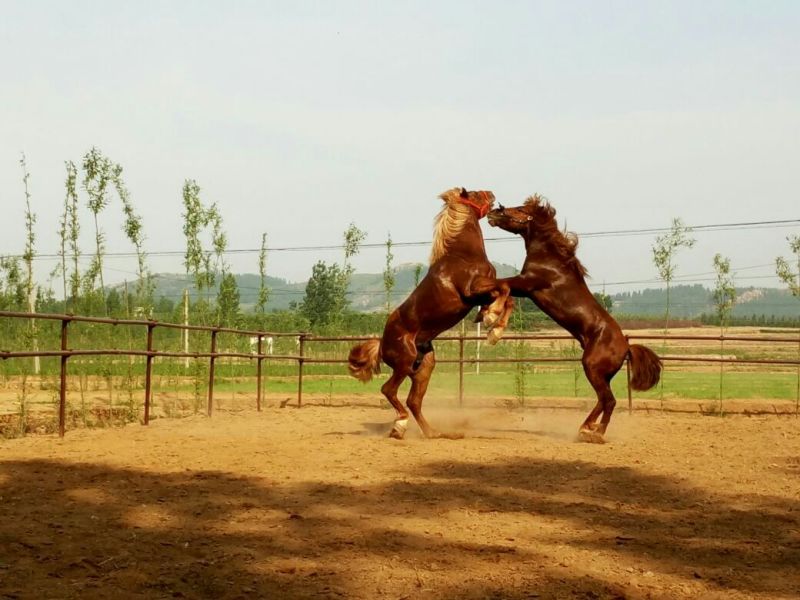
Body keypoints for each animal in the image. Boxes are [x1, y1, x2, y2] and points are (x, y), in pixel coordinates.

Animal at [348, 187, 514, 439]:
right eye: (475, 193)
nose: (491, 193)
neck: (463, 256)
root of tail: (382, 344)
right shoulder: (473, 290)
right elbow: (504, 288)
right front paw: (491, 319)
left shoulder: (483, 292)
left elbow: (507, 295)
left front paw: (491, 322)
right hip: (405, 361)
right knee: (389, 390)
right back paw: (400, 425)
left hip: (424, 366)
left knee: (413, 401)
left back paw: (432, 432)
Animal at [487, 195, 662, 443]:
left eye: (520, 209)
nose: (493, 213)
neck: (551, 259)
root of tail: (626, 347)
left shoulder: (527, 284)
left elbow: (501, 284)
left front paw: (492, 321)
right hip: (602, 375)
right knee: (603, 400)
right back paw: (586, 427)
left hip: (591, 367)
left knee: (609, 401)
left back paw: (595, 433)